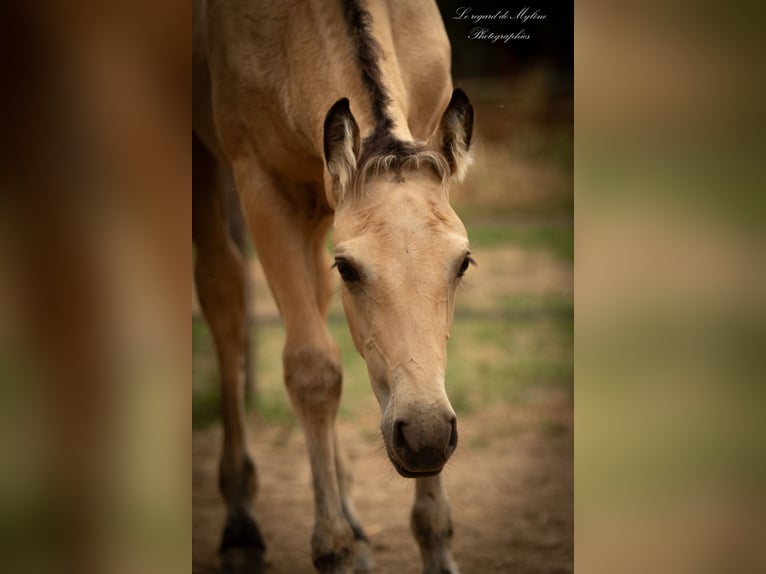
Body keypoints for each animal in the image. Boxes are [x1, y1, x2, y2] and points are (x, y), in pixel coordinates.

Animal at [192, 1, 475, 572]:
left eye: (462, 263)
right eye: (348, 268)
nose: (426, 436)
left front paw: (435, 544)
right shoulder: (261, 183)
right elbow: (313, 370)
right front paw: (333, 546)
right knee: (222, 293)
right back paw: (241, 522)